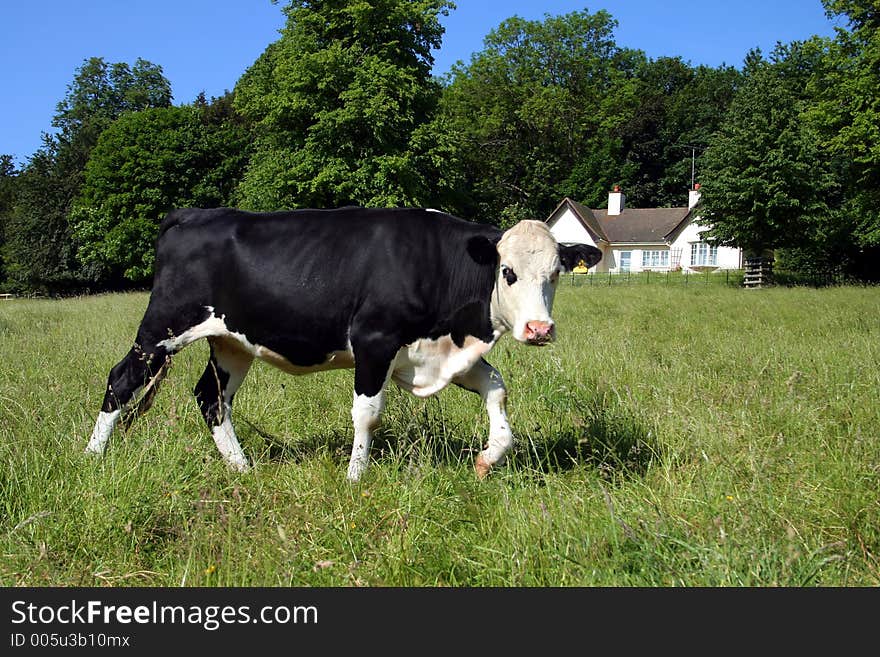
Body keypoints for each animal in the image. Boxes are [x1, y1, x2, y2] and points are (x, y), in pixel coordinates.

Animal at [86, 208, 600, 480]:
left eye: (555, 273)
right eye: (507, 272)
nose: (539, 329)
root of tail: (192, 214)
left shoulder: (435, 351)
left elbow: (497, 387)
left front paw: (489, 457)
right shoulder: (374, 341)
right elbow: (367, 414)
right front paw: (356, 477)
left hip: (231, 342)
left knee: (211, 397)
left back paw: (242, 468)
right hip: (162, 327)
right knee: (121, 380)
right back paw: (93, 456)